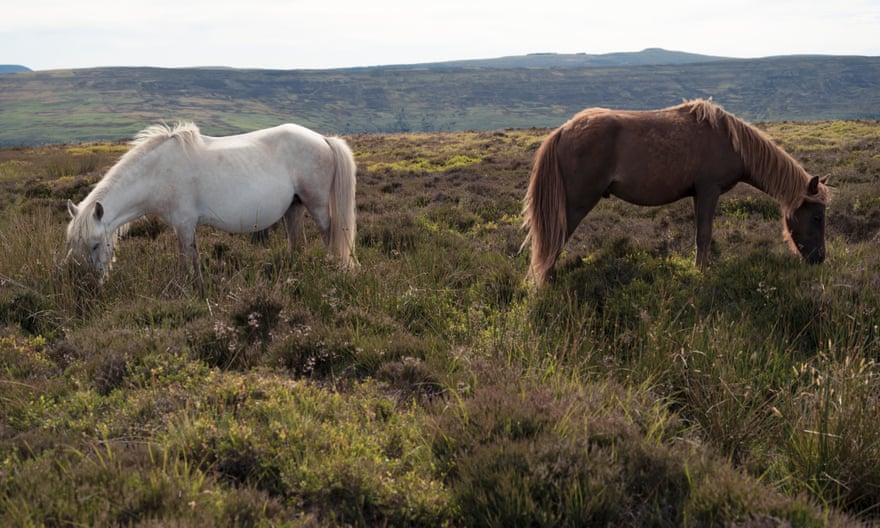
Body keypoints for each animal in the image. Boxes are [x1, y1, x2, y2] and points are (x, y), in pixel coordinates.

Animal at [66, 121, 358, 295]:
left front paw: (191, 291)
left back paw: (334, 272)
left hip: (317, 206)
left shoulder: (184, 225)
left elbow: (187, 260)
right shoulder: (182, 227)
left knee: (330, 237)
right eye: (74, 245)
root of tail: (323, 139)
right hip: (294, 208)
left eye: (94, 245)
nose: (87, 286)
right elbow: (190, 258)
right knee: (297, 244)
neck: (158, 171)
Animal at [521, 98, 830, 286]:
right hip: (577, 202)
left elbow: (699, 236)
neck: (728, 139)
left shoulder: (697, 194)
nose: (820, 260)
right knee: (554, 240)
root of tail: (563, 130)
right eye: (817, 217)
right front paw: (701, 273)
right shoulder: (708, 191)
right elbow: (703, 236)